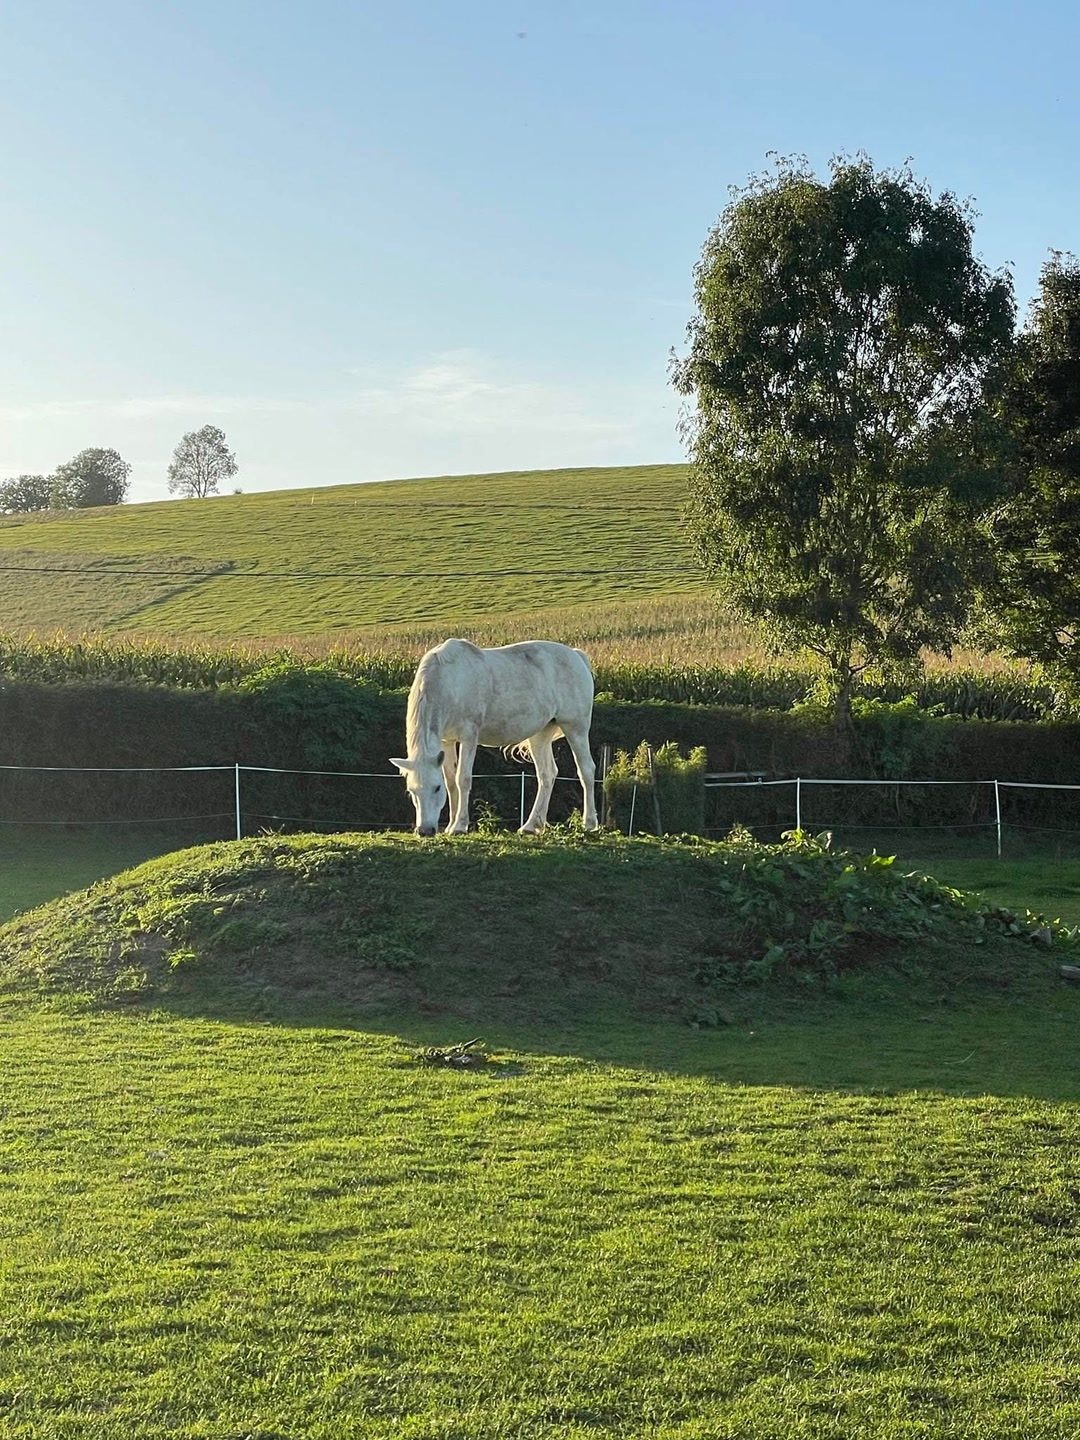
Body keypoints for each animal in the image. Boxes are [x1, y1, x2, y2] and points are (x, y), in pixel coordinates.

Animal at [391, 638, 599, 836]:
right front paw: (450, 825)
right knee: (547, 775)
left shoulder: (469, 736)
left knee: (586, 771)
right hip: (540, 735)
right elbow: (451, 781)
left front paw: (459, 825)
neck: (448, 681)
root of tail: (576, 655)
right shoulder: (447, 741)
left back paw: (589, 823)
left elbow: (462, 779)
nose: (424, 831)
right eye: (412, 791)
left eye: (436, 788)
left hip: (576, 728)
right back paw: (531, 825)